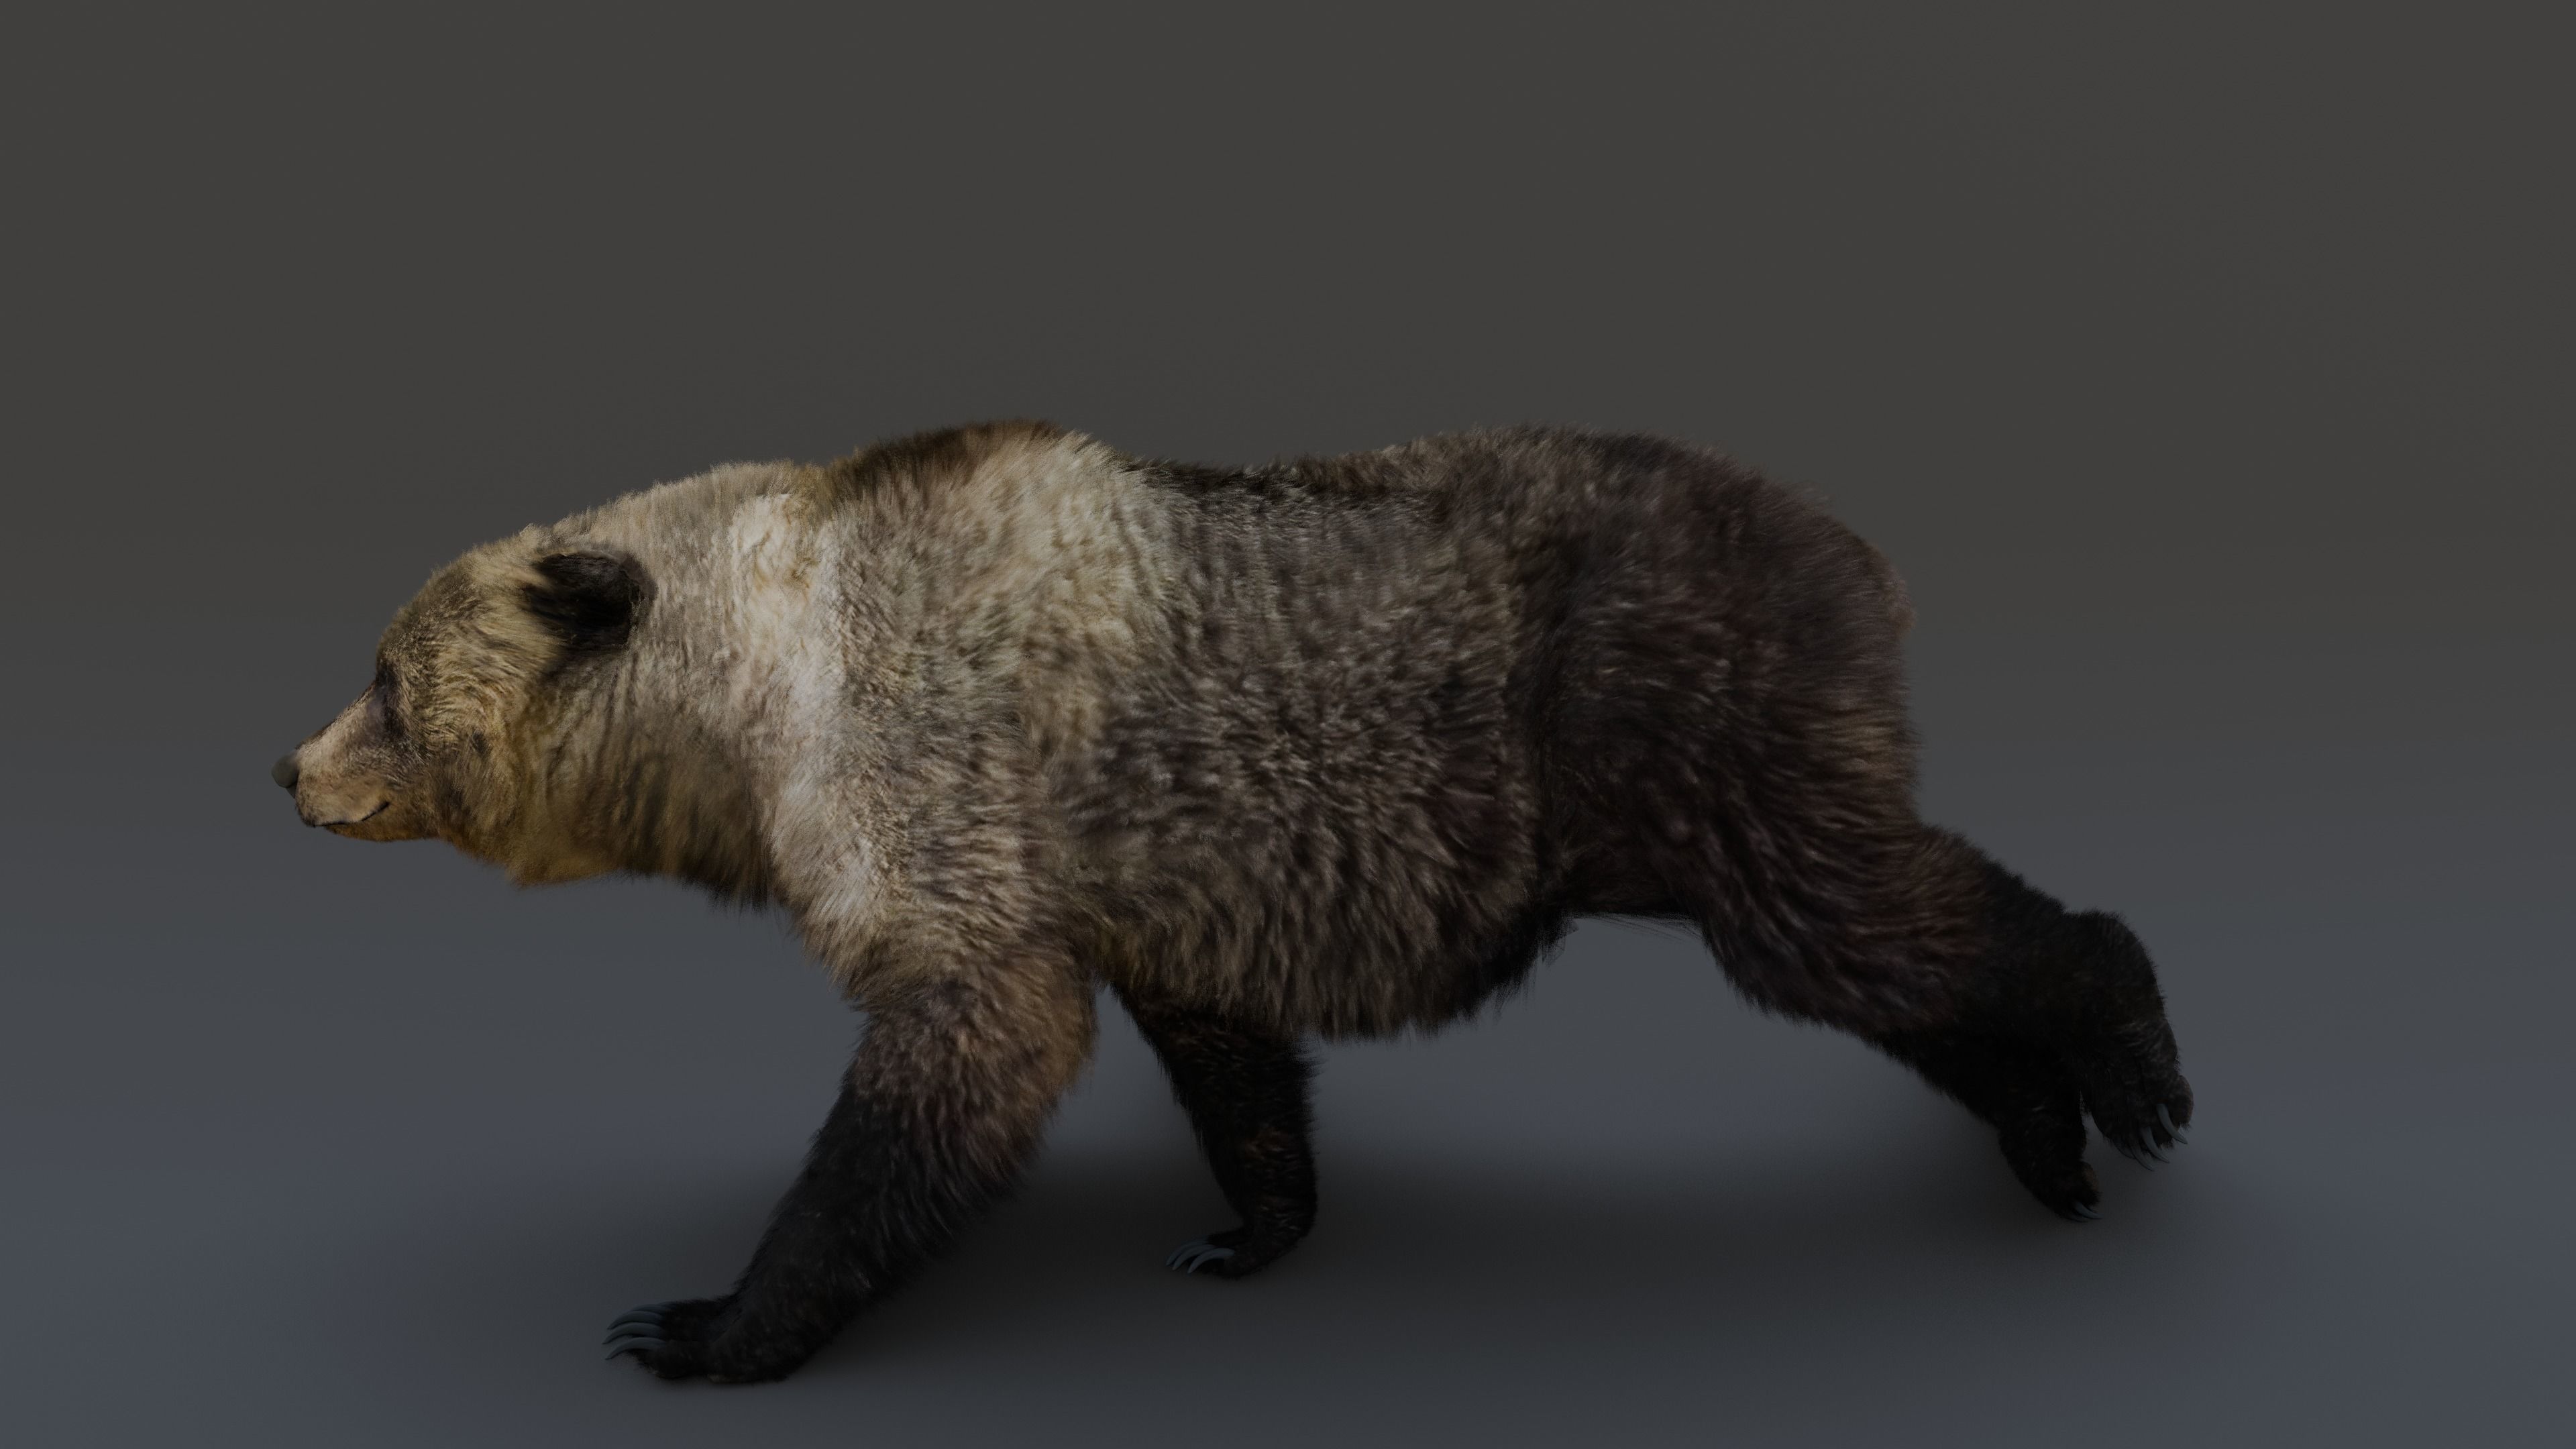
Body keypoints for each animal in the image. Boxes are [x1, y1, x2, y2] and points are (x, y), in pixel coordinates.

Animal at [273, 421, 2191, 1384]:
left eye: (383, 676)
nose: (288, 768)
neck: (756, 697)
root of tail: (1859, 555)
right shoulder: (1146, 873)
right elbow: (1219, 1050)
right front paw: (1249, 1223)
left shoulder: (939, 796)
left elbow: (957, 1049)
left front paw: (698, 1320)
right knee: (1884, 963)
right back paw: (2043, 1137)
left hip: (1682, 713)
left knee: (1866, 922)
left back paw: (2129, 1062)